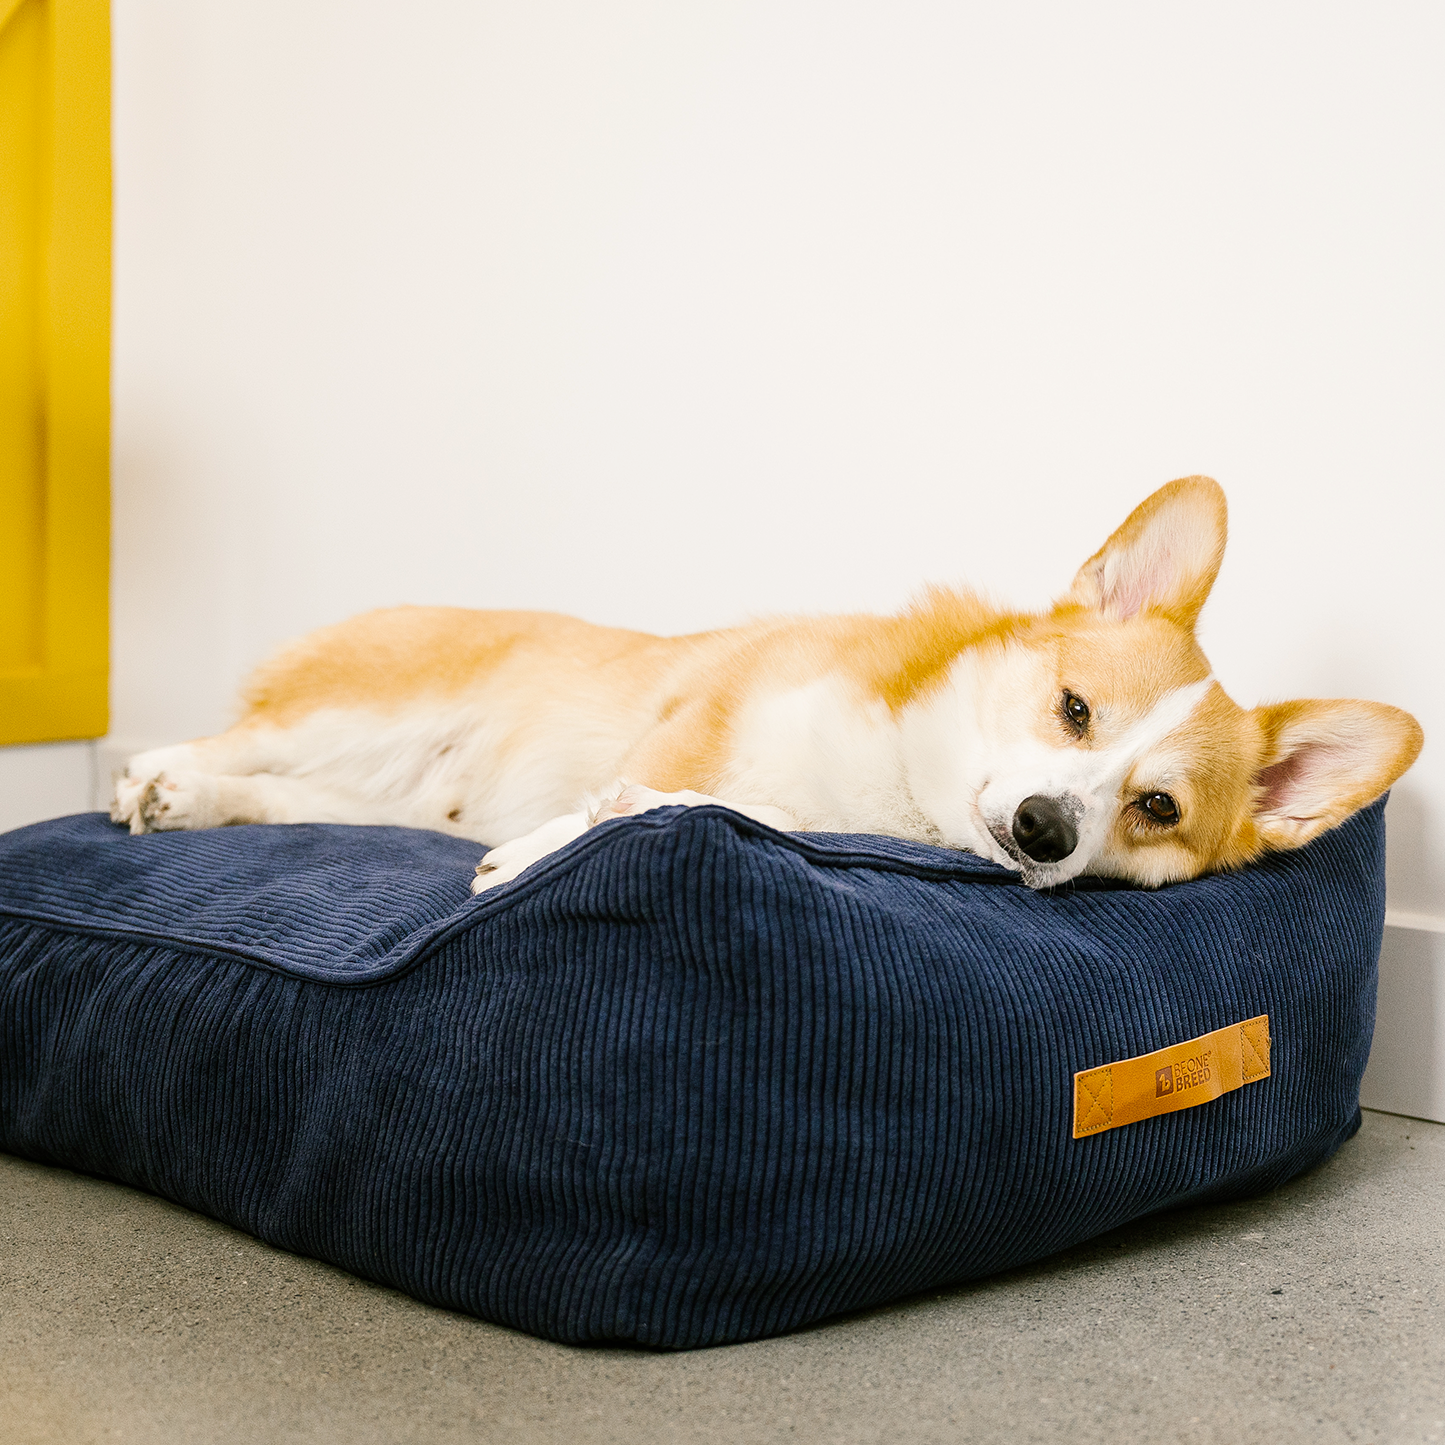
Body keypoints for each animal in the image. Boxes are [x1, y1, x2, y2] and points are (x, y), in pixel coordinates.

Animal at [109, 479, 1421, 890]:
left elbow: (707, 810)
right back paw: (155, 775)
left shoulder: (773, 803)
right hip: (369, 704)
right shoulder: (700, 718)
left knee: (290, 795)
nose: (1047, 827)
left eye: (1154, 807)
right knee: (239, 741)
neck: (901, 794)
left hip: (390, 795)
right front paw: (537, 858)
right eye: (1073, 709)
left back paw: (194, 803)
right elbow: (643, 793)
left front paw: (562, 841)